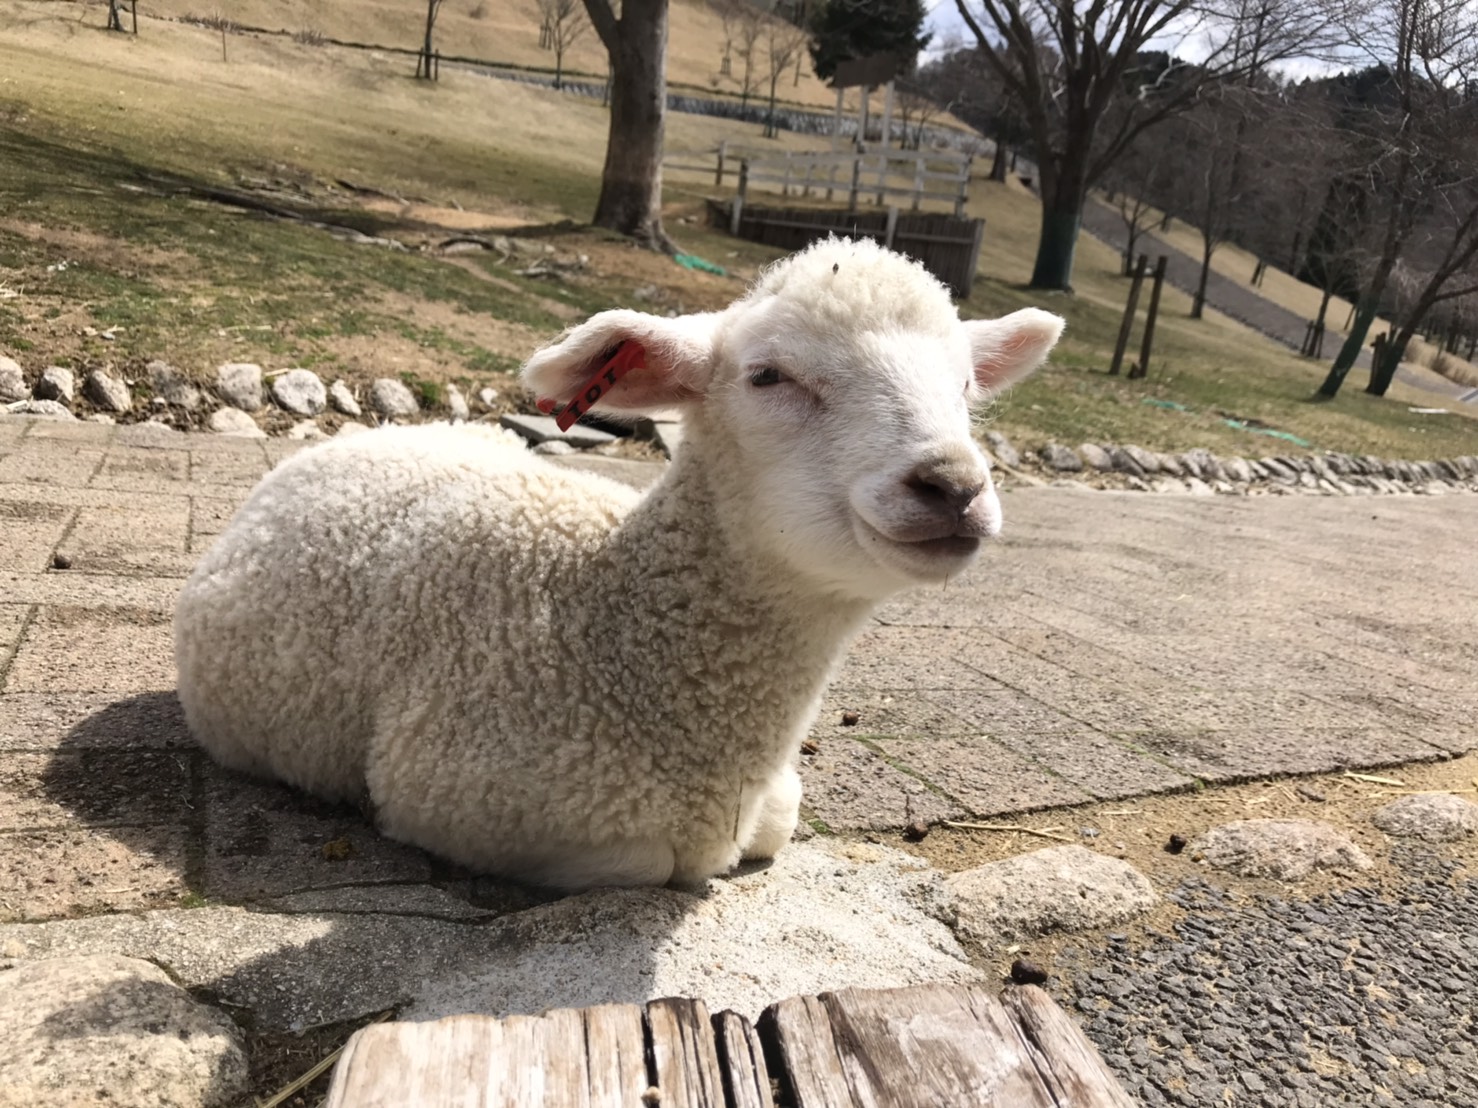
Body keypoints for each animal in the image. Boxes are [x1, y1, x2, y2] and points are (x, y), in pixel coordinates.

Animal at [175, 239, 1064, 892]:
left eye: (965, 385)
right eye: (767, 375)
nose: (953, 485)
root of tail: (350, 441)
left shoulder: (773, 798)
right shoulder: (459, 789)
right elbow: (640, 860)